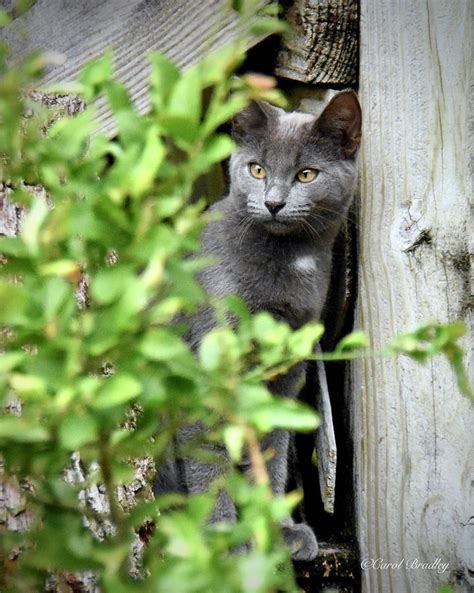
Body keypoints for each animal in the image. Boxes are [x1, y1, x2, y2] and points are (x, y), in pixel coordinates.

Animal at [157, 91, 362, 560]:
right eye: (257, 169)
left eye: (306, 174)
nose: (273, 202)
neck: (288, 263)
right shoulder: (210, 367)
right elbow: (209, 460)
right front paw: (223, 547)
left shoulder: (286, 373)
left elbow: (272, 448)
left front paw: (277, 530)